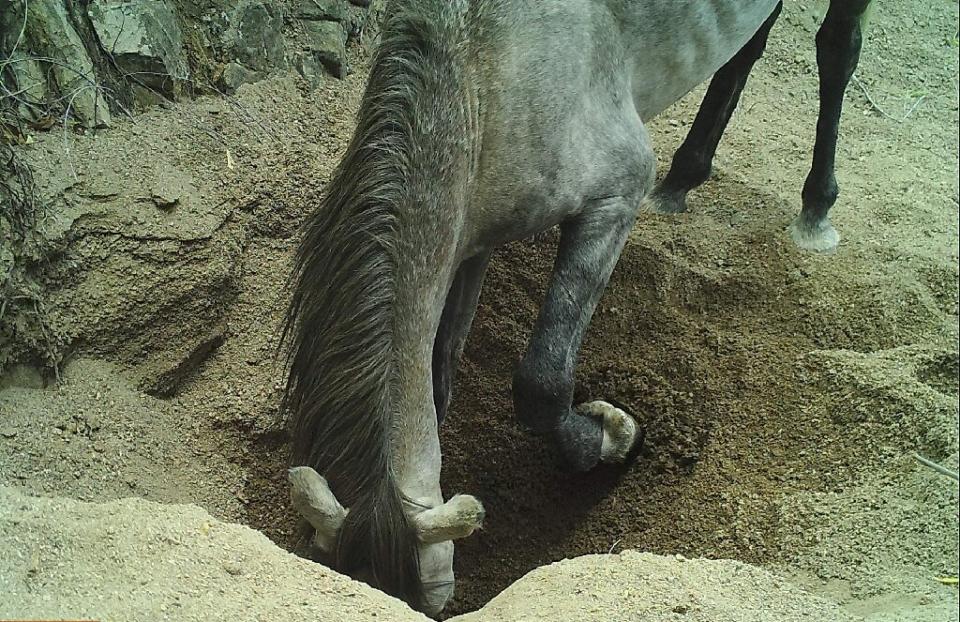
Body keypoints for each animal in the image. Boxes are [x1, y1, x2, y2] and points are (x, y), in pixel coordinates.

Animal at [282, 0, 872, 616]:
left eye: (430, 605)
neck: (486, 71)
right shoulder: (471, 239)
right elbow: (441, 373)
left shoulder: (614, 196)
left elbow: (541, 385)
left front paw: (615, 434)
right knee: (748, 47)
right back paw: (683, 179)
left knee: (838, 47)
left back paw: (816, 209)